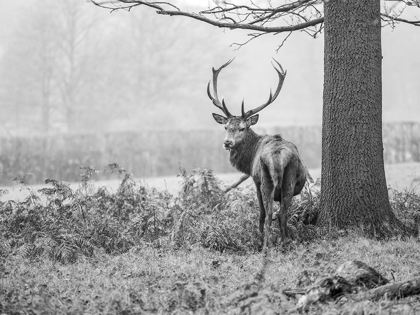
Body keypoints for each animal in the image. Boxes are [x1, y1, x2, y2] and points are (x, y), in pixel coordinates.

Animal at [208, 58, 312, 252]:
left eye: (242, 128)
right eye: (226, 127)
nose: (227, 143)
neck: (249, 160)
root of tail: (277, 156)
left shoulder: (255, 180)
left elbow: (261, 213)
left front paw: (258, 238)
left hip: (266, 180)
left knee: (270, 213)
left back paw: (265, 247)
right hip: (288, 179)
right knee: (282, 213)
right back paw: (284, 243)